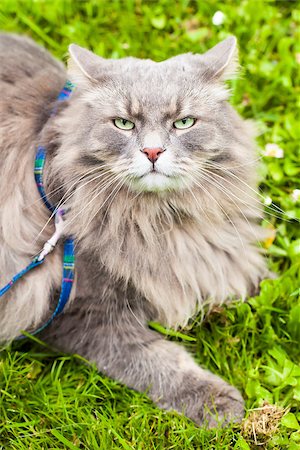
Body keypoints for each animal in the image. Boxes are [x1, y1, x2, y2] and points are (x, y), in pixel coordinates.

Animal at [0, 33, 270, 428]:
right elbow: (159, 360)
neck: (158, 220)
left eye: (184, 122)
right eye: (123, 124)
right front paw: (216, 403)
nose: (153, 151)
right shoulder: (78, 313)